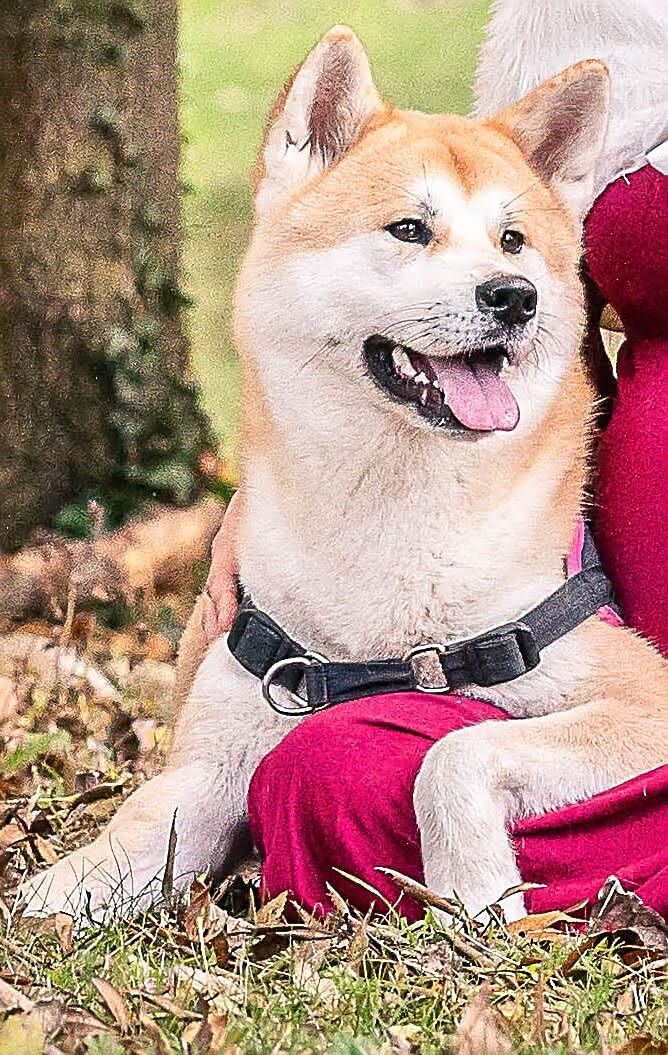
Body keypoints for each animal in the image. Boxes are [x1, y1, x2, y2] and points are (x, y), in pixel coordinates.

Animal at [21, 26, 668, 926]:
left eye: (514, 241)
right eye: (409, 229)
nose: (514, 296)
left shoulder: (641, 697)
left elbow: (457, 750)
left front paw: (474, 886)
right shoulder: (221, 743)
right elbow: (149, 816)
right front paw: (62, 887)